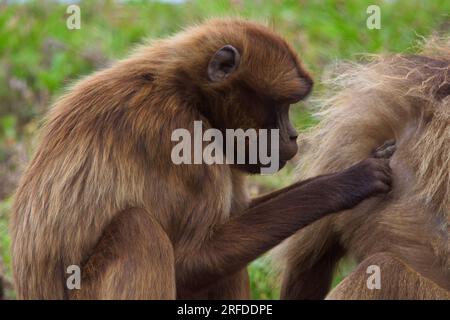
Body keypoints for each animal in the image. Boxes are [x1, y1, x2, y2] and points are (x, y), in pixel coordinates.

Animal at [8, 19, 392, 300]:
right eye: (282, 106)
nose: (294, 136)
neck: (185, 90)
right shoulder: (183, 140)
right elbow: (189, 262)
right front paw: (347, 183)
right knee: (139, 228)